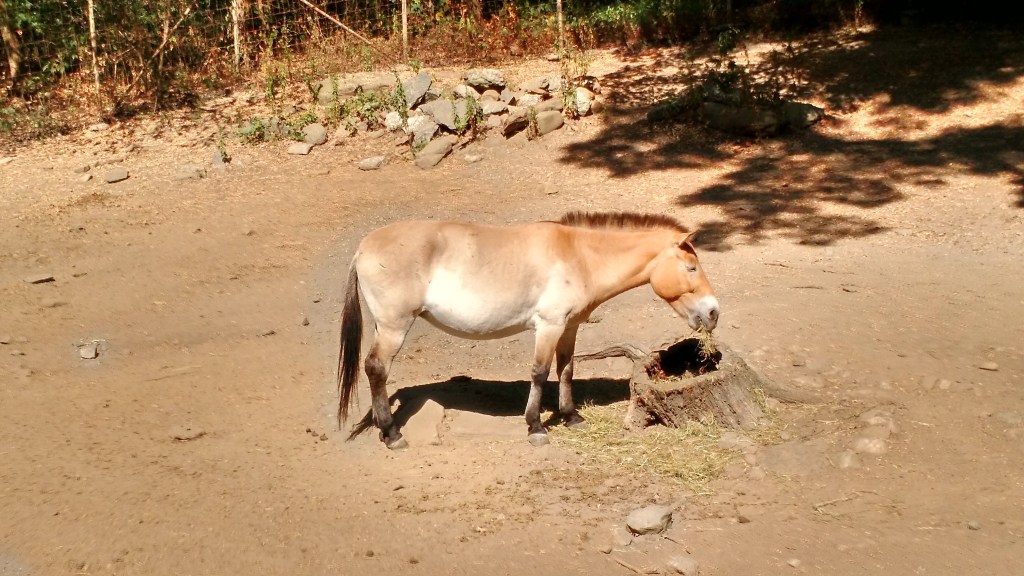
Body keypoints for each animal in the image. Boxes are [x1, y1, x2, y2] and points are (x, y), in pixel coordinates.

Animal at [337, 211, 720, 449]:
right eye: (691, 267)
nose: (713, 312)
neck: (579, 256)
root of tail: (362, 248)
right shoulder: (548, 325)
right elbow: (539, 372)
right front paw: (536, 427)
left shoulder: (568, 327)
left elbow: (566, 370)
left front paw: (571, 417)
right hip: (394, 327)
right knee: (376, 369)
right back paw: (392, 434)